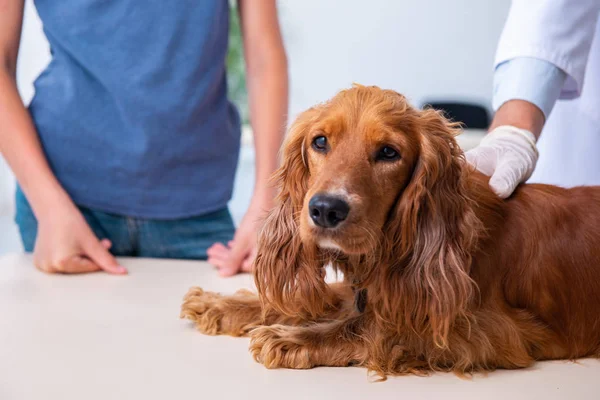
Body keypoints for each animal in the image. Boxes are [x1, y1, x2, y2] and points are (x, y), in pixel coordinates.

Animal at [180, 85, 600, 378]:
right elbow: (328, 301)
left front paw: (292, 337)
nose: (325, 209)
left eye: (388, 152)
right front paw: (222, 304)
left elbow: (368, 328)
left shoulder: (490, 330)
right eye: (320, 141)